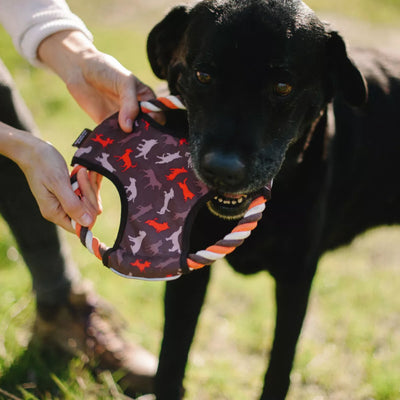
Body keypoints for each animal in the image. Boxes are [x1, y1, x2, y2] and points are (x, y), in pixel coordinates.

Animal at [146, 1, 400, 398]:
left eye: (283, 86)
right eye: (203, 75)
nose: (223, 169)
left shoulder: (296, 277)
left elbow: (280, 366)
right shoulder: (189, 271)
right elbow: (172, 357)